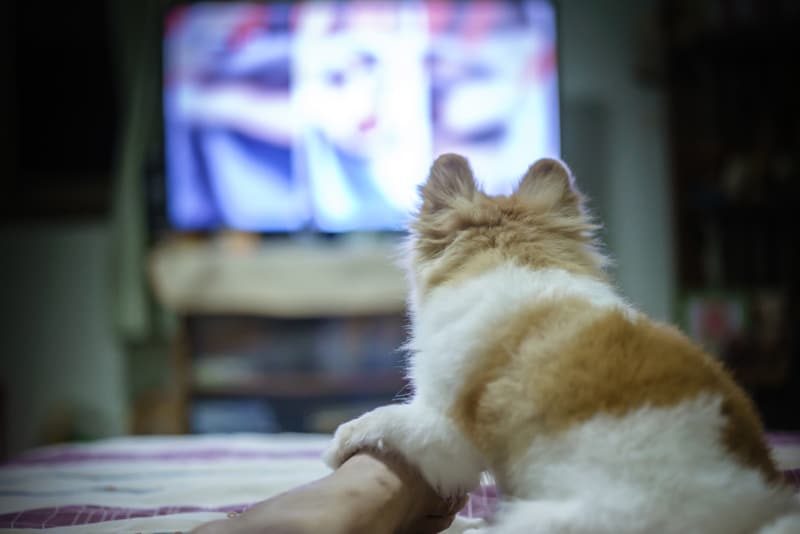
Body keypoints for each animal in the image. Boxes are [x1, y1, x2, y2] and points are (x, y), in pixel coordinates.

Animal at [322, 156, 796, 534]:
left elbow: (385, 419)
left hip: (549, 520)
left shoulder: (449, 431)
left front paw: (341, 441)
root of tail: (759, 512)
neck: (513, 258)